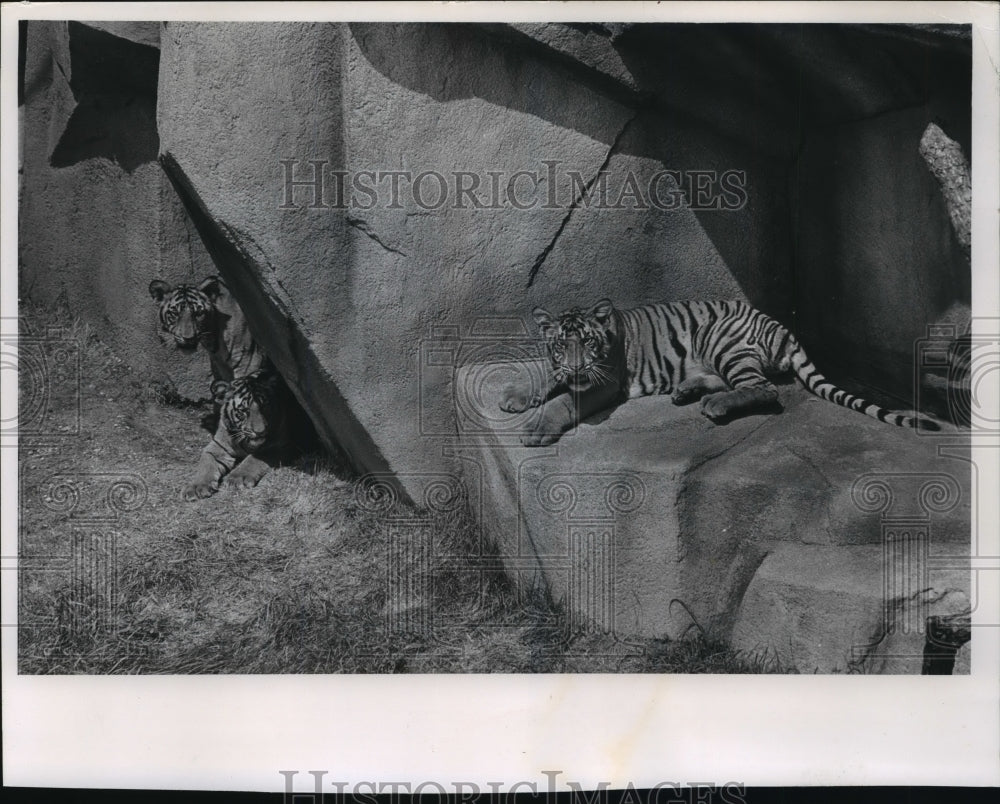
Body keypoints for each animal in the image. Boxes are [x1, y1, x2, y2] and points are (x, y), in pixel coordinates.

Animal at [182, 368, 292, 500]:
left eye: (264, 406)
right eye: (243, 411)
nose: (260, 431)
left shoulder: (280, 445)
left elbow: (253, 458)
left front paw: (236, 478)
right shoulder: (217, 446)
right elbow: (206, 464)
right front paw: (196, 487)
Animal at [500, 298, 940, 446]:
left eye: (588, 343)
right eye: (562, 345)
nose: (576, 366)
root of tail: (782, 326)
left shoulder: (603, 383)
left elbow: (563, 401)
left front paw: (535, 429)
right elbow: (543, 374)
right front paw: (514, 395)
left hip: (720, 337)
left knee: (764, 389)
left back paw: (714, 405)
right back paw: (685, 390)